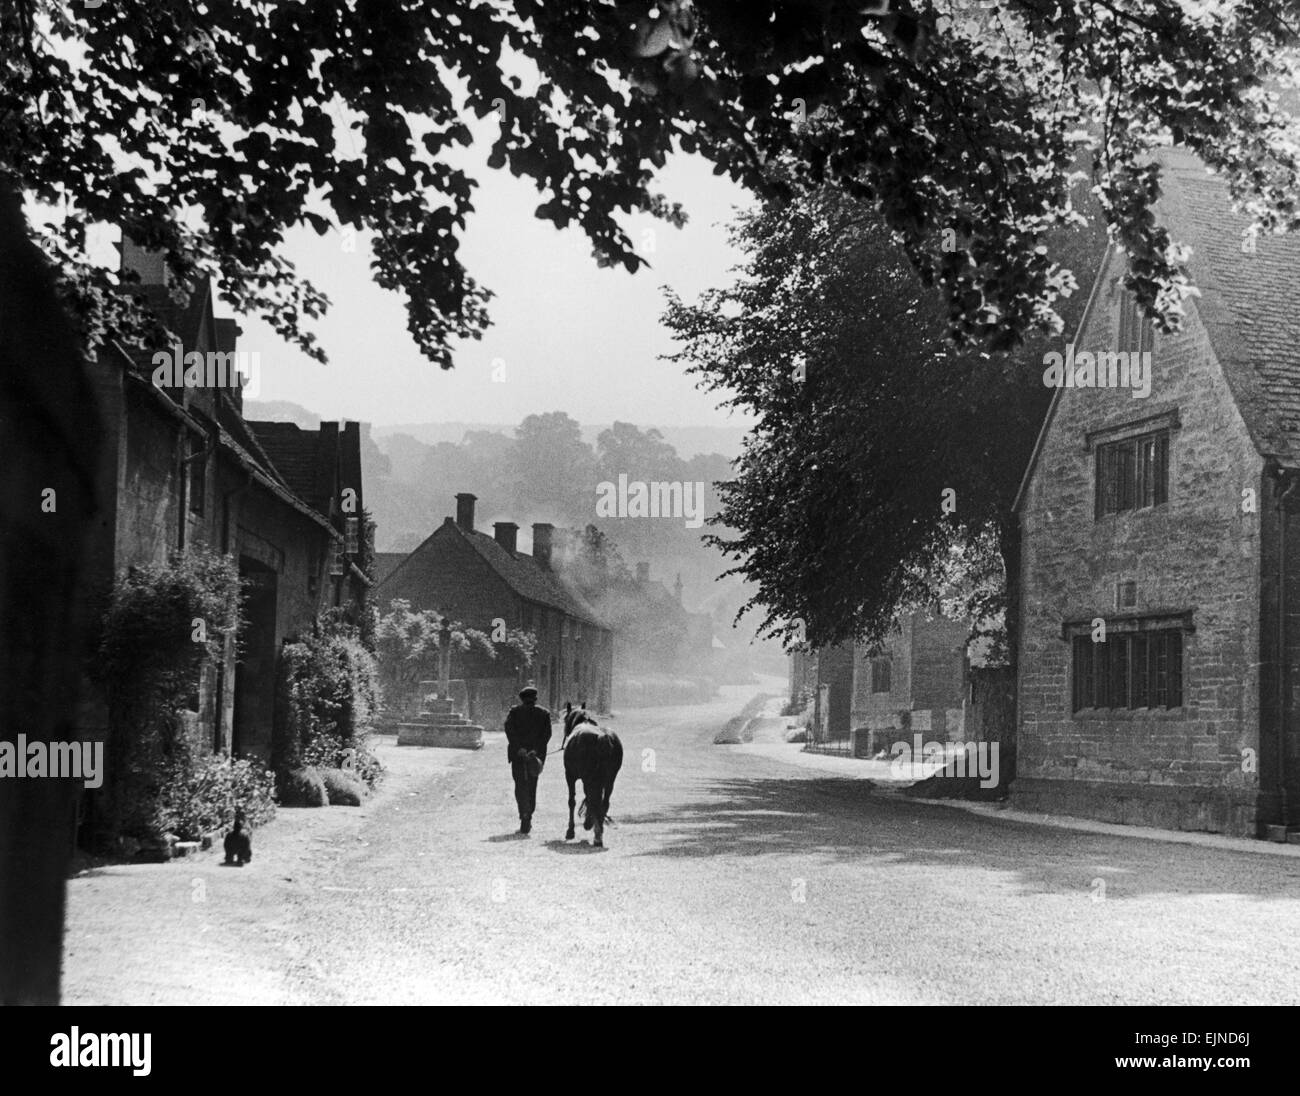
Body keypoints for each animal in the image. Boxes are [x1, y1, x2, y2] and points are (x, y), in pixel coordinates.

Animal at [561, 702, 621, 847]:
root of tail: (602, 737)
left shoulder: (571, 777)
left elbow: (572, 801)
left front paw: (570, 831)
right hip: (609, 780)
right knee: (604, 802)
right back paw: (598, 831)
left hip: (590, 779)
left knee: (594, 801)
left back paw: (594, 830)